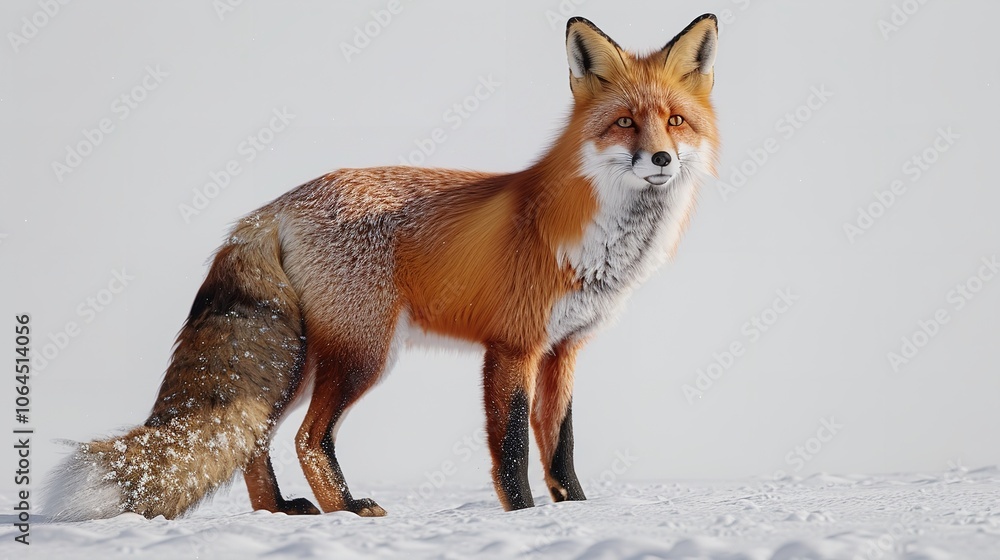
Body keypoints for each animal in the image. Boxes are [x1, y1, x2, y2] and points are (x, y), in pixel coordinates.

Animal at [44, 14, 720, 521]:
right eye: (624, 122)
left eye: (675, 121)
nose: (661, 158)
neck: (590, 238)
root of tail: (274, 206)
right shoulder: (512, 347)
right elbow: (511, 450)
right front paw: (526, 519)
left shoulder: (564, 349)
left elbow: (562, 449)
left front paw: (575, 513)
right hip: (362, 353)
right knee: (306, 437)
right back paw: (346, 509)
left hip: (303, 360)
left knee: (252, 438)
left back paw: (279, 512)